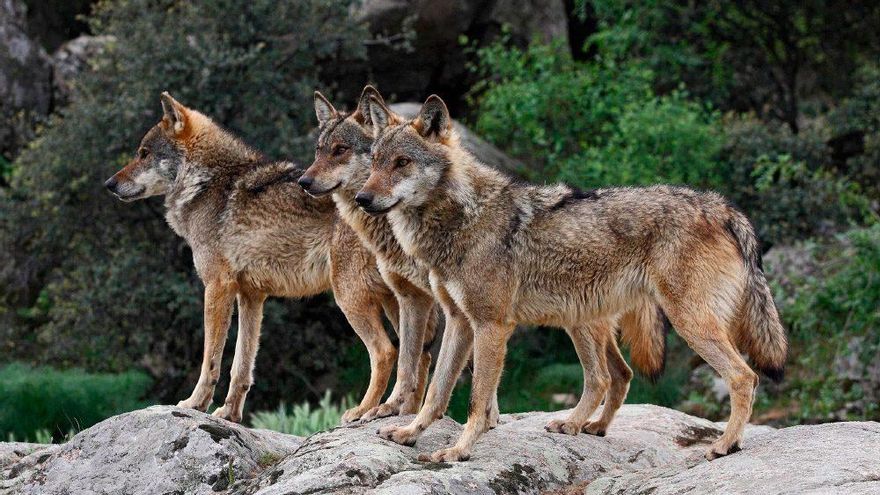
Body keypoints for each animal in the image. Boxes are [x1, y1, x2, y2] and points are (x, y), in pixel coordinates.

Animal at [104, 92, 401, 423]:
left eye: (144, 154)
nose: (109, 184)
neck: (207, 183)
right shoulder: (251, 296)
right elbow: (241, 366)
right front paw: (229, 414)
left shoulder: (217, 287)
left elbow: (211, 360)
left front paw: (194, 404)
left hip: (349, 297)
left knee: (386, 352)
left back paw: (364, 411)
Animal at [358, 95, 787, 462]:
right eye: (375, 162)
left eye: (402, 163)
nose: (362, 199)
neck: (463, 217)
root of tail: (723, 207)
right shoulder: (459, 321)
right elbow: (436, 390)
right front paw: (409, 433)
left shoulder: (491, 325)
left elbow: (477, 399)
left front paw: (458, 450)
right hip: (581, 318)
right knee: (607, 378)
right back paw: (583, 425)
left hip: (685, 323)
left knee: (743, 377)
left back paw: (725, 445)